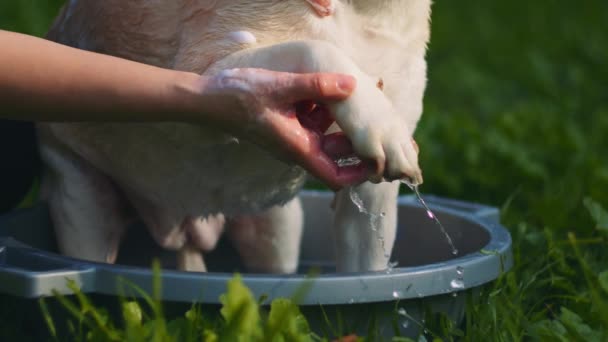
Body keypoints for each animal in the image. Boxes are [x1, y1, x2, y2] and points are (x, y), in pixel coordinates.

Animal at [39, 0, 432, 272]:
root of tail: (182, 226)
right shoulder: (212, 71)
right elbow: (315, 49)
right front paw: (380, 123)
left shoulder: (369, 199)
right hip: (80, 205)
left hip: (279, 230)